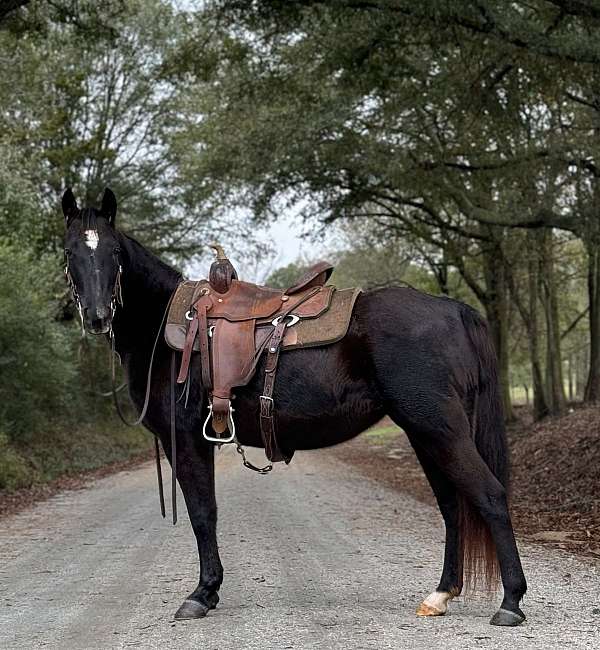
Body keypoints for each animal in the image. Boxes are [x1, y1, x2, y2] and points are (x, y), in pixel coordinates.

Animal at [63, 186, 528, 624]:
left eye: (114, 252)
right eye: (70, 252)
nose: (98, 316)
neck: (163, 328)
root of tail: (455, 310)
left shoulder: (189, 442)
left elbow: (202, 513)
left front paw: (202, 593)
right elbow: (205, 512)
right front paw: (208, 591)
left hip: (439, 428)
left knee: (489, 496)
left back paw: (510, 602)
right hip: (425, 433)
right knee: (452, 507)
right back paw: (441, 595)